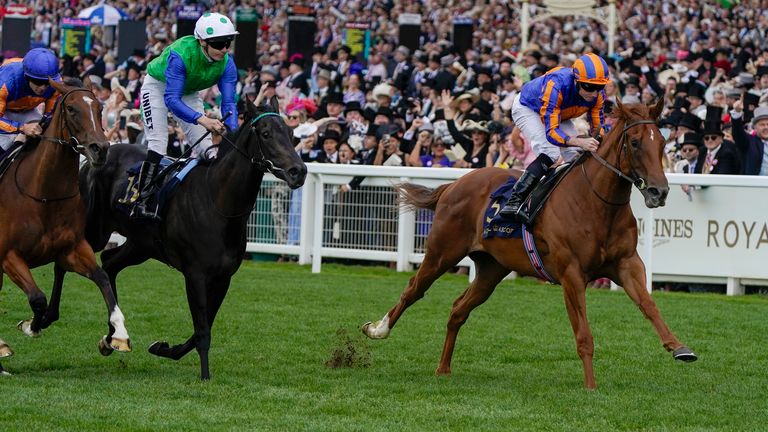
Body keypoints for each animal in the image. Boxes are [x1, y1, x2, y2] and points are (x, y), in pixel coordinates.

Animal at [0, 77, 131, 368]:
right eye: (71, 109)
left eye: (99, 107)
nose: (100, 149)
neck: (45, 195)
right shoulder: (8, 256)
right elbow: (37, 298)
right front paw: (31, 326)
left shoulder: (72, 249)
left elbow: (102, 278)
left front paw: (118, 334)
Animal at [69, 99, 308, 380]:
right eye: (266, 133)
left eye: (291, 134)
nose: (298, 171)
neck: (218, 202)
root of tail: (98, 156)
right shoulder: (195, 275)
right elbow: (202, 330)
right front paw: (205, 376)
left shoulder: (223, 277)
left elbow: (200, 330)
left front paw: (162, 348)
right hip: (93, 230)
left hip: (142, 245)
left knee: (108, 263)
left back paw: (112, 337)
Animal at [362, 98, 696, 388]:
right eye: (636, 142)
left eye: (662, 143)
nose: (659, 191)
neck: (597, 204)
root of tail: (452, 185)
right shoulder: (571, 274)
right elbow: (584, 336)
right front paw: (590, 387)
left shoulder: (627, 264)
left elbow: (649, 305)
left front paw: (679, 347)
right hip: (441, 253)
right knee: (413, 290)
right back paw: (378, 329)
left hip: (491, 269)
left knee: (458, 309)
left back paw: (443, 368)